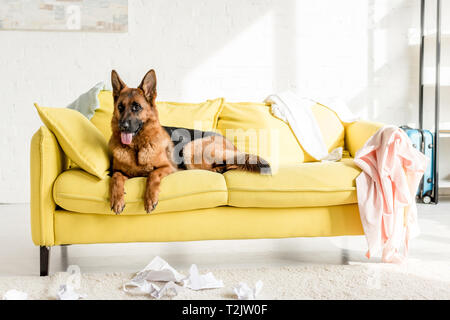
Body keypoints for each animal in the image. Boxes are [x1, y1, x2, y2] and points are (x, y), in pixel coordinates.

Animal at [109, 69, 270, 214]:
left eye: (136, 107)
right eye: (120, 107)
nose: (123, 126)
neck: (136, 148)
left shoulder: (168, 167)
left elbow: (152, 175)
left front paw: (150, 199)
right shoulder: (116, 171)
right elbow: (116, 178)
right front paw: (117, 200)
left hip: (190, 148)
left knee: (232, 162)